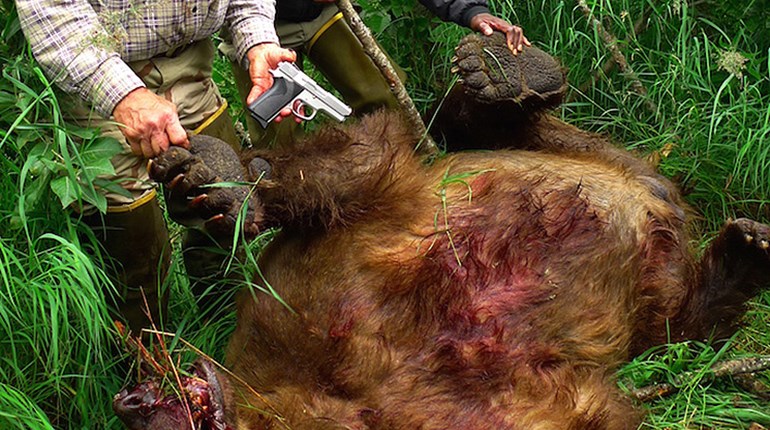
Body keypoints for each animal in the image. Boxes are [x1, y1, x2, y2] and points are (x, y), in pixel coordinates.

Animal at [114, 33, 770, 429]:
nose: (131, 397)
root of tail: (660, 196)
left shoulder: (303, 286)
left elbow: (355, 161)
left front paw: (224, 177)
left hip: (600, 179)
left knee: (463, 127)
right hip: (648, 262)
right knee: (681, 320)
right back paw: (746, 251)